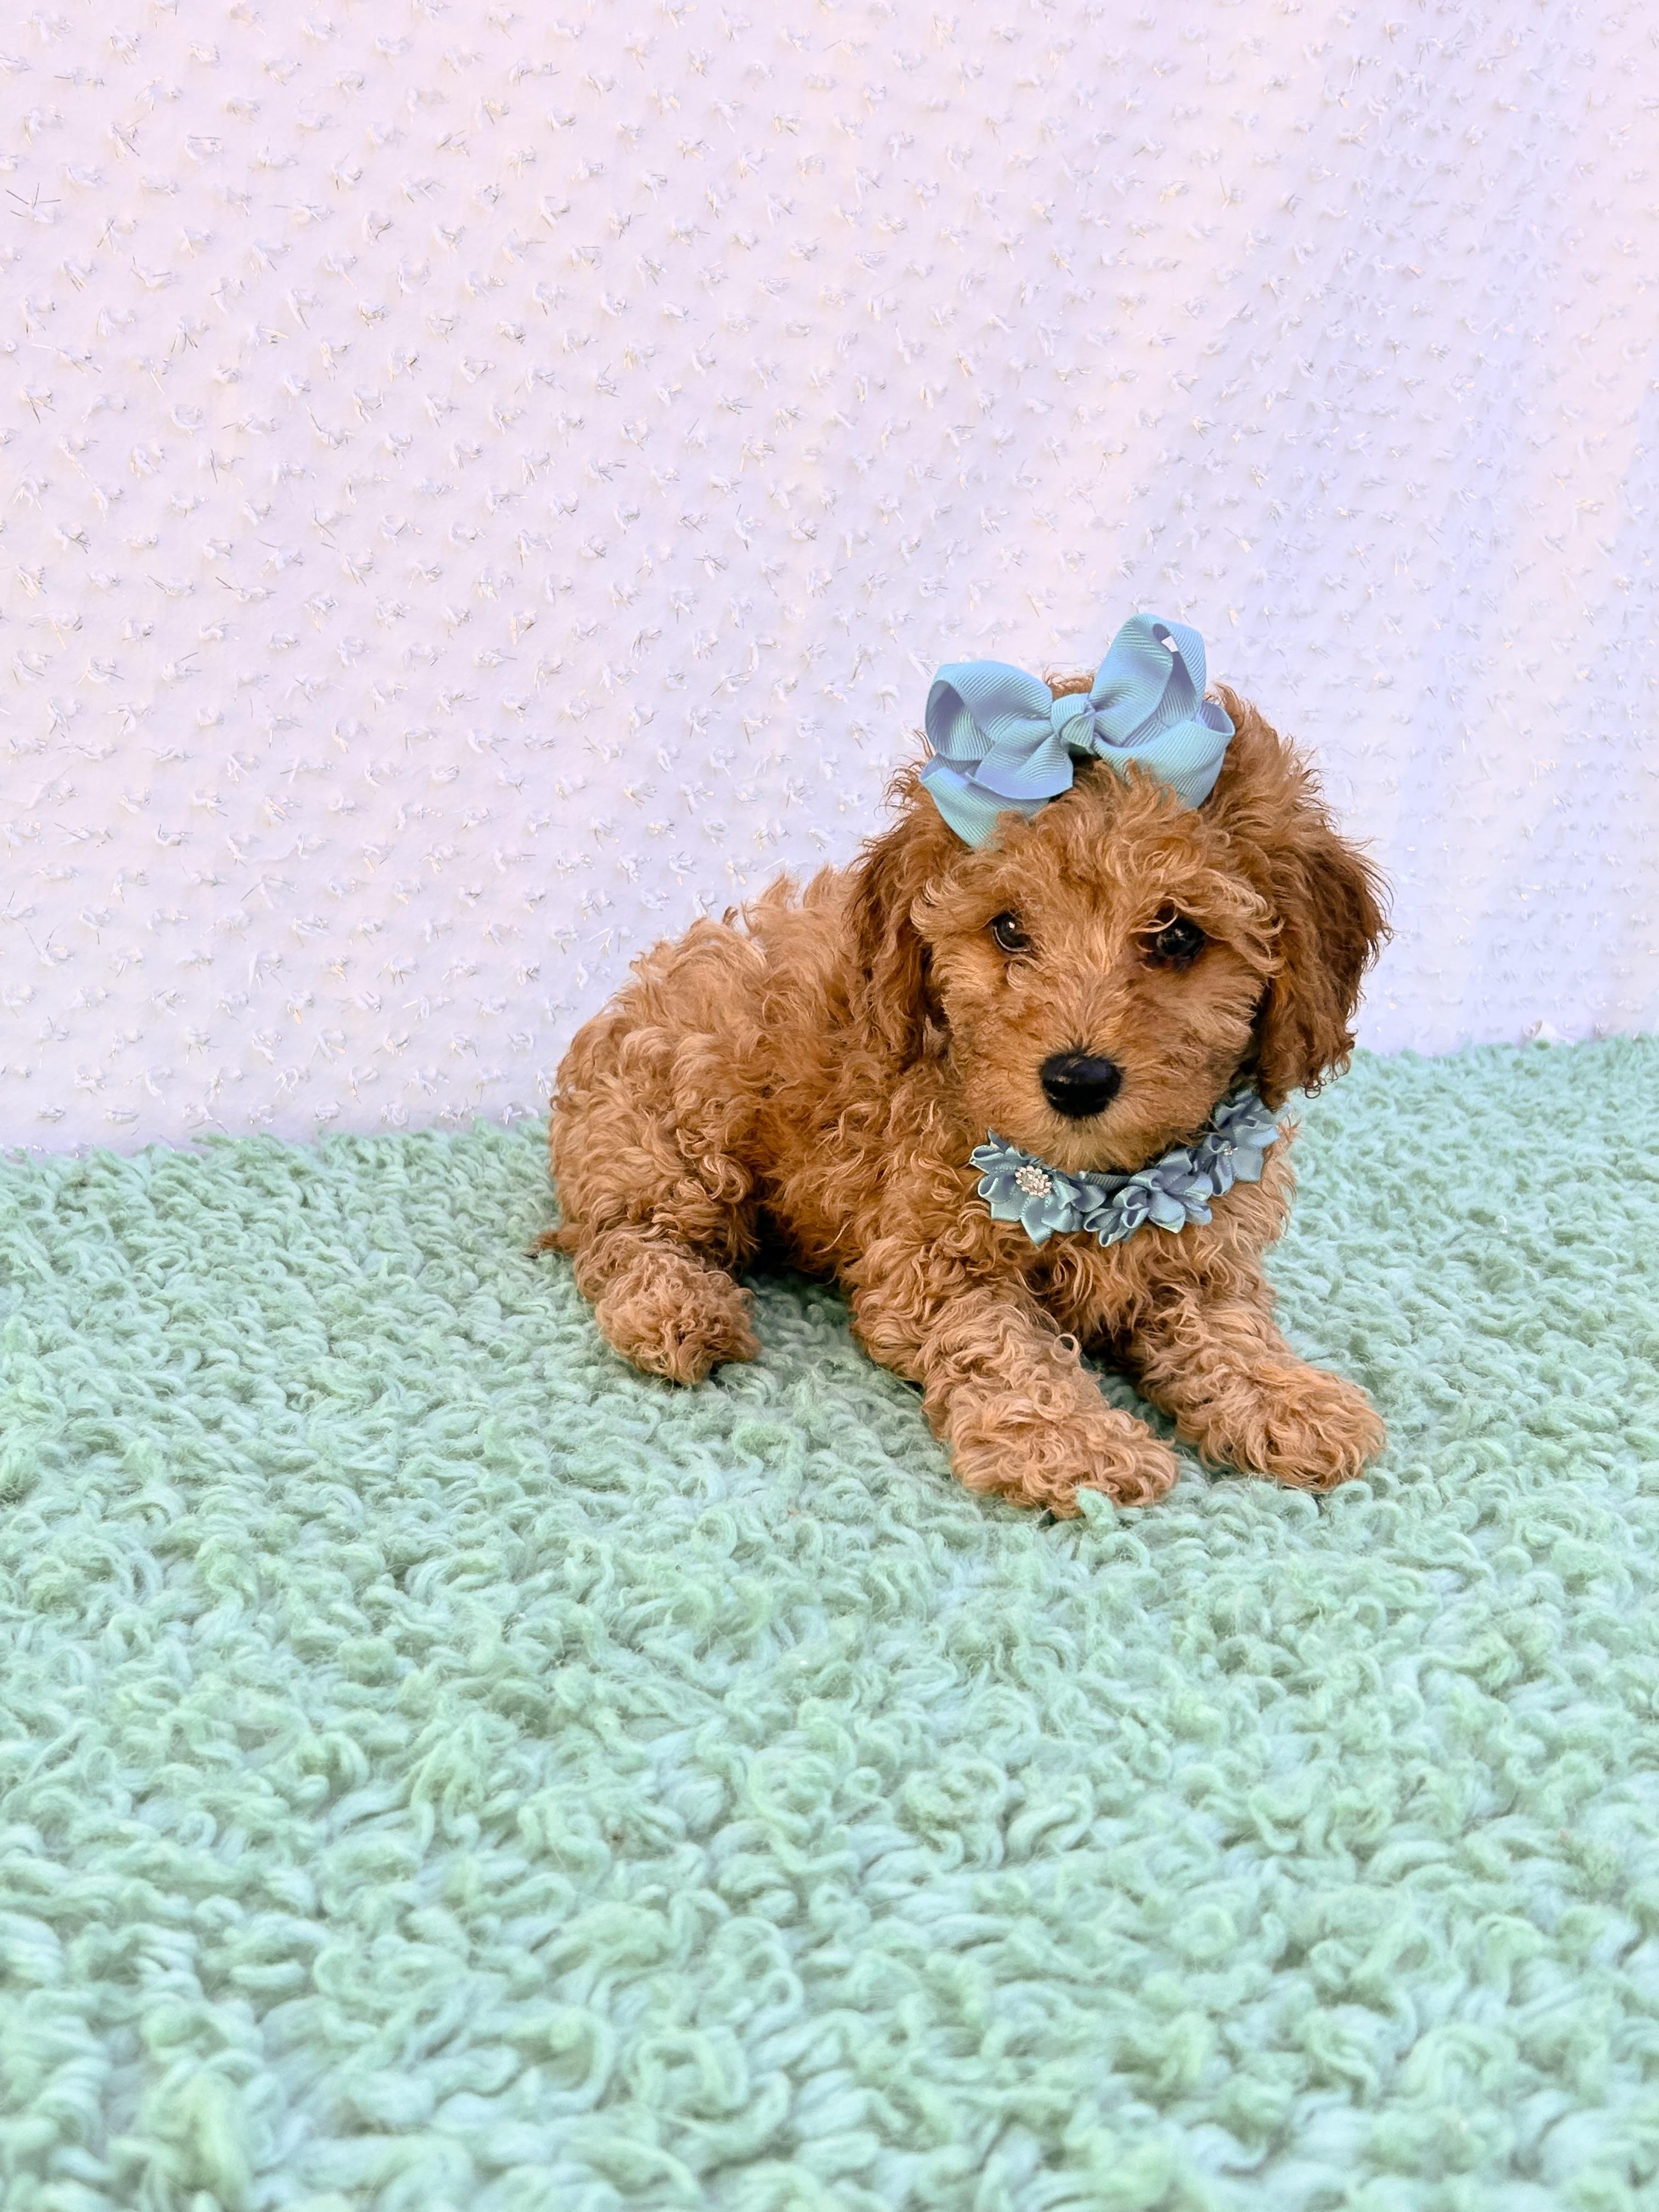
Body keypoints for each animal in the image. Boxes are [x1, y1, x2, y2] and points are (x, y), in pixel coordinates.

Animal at [547, 627, 1388, 1514]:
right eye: (1010, 929)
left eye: (1178, 936)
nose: (1077, 1080)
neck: (1096, 1188)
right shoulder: (929, 1267)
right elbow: (1007, 1349)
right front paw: (1074, 1442)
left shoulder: (1198, 1263)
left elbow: (1226, 1327)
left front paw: (1287, 1398)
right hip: (676, 1123)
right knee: (629, 1233)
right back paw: (679, 1312)